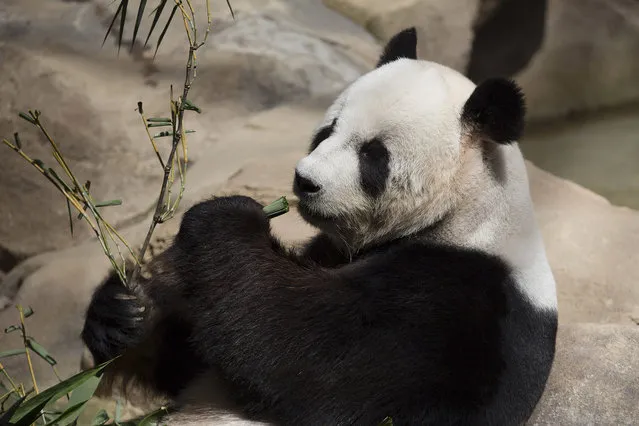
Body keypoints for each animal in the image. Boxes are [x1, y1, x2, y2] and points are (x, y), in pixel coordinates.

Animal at [81, 27, 560, 426]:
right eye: (327, 130)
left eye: (373, 156)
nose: (305, 181)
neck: (467, 210)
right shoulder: (330, 251)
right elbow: (191, 354)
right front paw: (123, 310)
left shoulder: (457, 305)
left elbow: (314, 355)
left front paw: (226, 218)